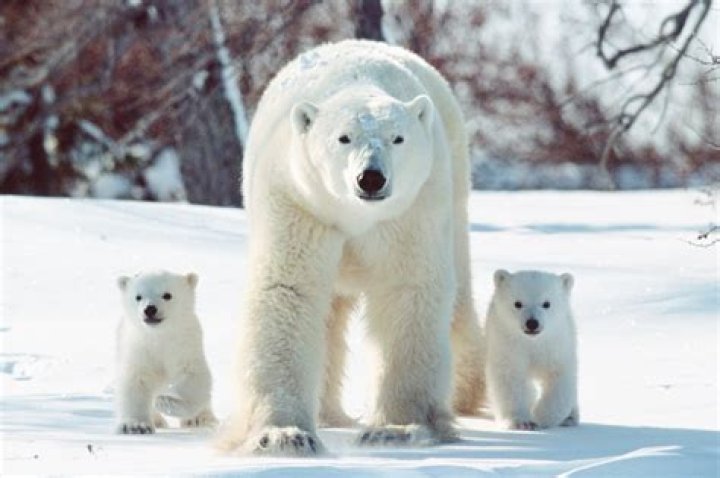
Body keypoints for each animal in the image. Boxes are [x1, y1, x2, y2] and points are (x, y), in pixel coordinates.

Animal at [115, 270, 217, 434]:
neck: (160, 336)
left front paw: (166, 402)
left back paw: (200, 419)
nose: (150, 309)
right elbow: (135, 381)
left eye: (167, 295)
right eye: (138, 296)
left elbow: (193, 378)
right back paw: (158, 420)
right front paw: (136, 426)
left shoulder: (185, 346)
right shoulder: (138, 349)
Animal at [220, 39, 484, 456]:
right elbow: (288, 290)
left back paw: (464, 395)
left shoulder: (411, 209)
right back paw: (327, 413)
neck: (354, 215)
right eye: (343, 138)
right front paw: (283, 435)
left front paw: (396, 429)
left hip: (453, 189)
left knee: (457, 298)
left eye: (397, 138)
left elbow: (409, 289)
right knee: (329, 314)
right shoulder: (298, 200)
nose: (371, 178)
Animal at [484, 269, 579, 430]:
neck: (532, 343)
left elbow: (560, 379)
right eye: (518, 303)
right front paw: (522, 422)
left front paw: (542, 416)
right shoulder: (507, 344)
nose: (532, 323)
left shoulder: (556, 346)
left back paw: (571, 417)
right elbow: (510, 379)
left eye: (546, 303)